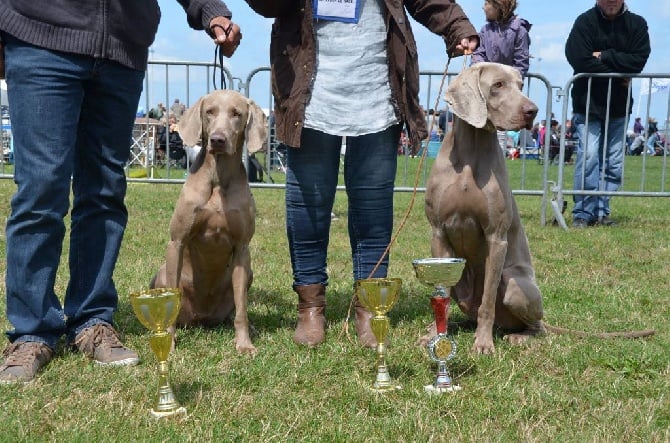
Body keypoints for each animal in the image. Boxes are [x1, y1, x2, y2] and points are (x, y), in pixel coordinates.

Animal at [152, 88, 268, 356]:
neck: (218, 177)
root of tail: (201, 318)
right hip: (161, 273)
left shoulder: (242, 248)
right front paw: (168, 342)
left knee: (234, 308)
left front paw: (244, 343)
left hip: (248, 275)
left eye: (237, 114)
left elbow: (242, 309)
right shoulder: (177, 241)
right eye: (209, 112)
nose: (217, 139)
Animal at [426, 63, 544, 354]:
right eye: (498, 85)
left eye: (521, 85)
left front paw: (482, 344)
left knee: (537, 325)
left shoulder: (496, 237)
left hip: (515, 284)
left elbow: (488, 301)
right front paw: (434, 335)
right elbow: (440, 294)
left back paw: (519, 336)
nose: (532, 111)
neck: (472, 152)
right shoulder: (438, 233)